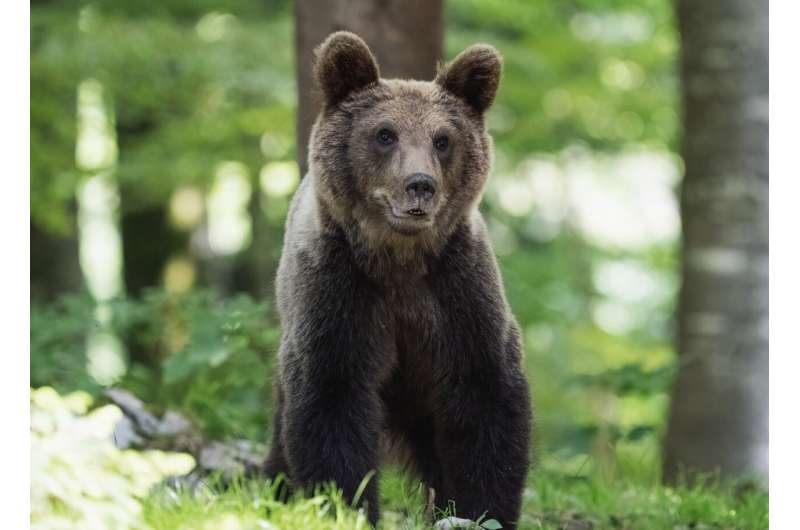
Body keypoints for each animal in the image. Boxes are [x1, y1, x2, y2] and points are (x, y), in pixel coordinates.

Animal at [264, 31, 532, 528]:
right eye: (384, 134)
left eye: (442, 139)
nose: (420, 184)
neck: (399, 261)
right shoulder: (339, 295)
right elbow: (331, 402)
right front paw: (346, 504)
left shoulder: (458, 294)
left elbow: (486, 398)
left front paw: (481, 508)